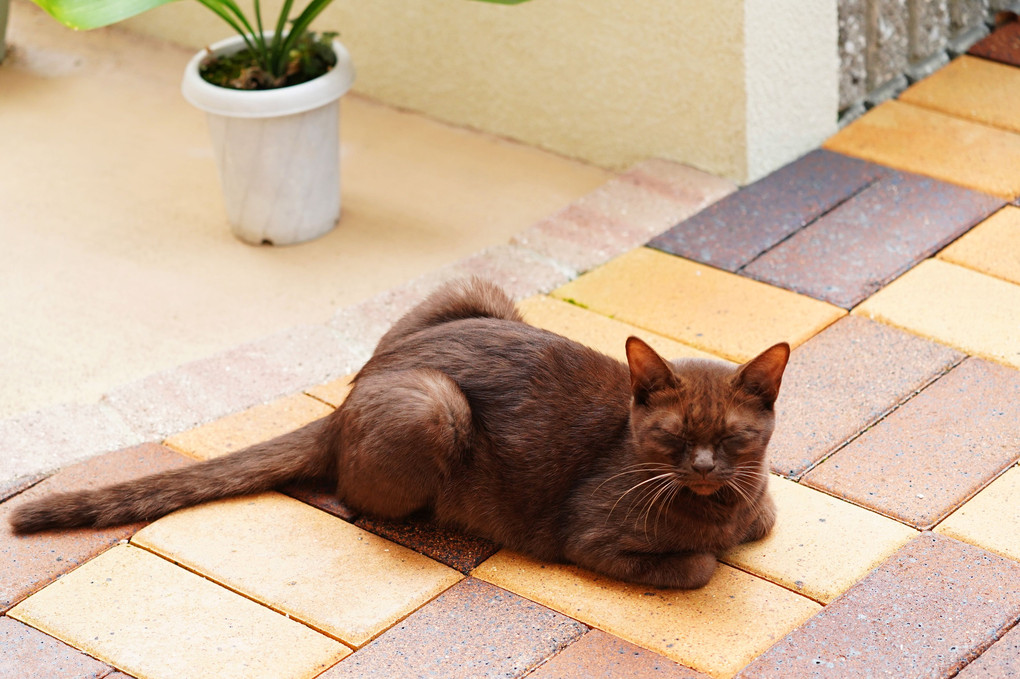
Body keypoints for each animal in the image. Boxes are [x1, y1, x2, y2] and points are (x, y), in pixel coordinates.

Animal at [9, 279, 787, 587]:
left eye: (733, 438)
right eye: (673, 438)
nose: (706, 467)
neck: (719, 506)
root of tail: (356, 390)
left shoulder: (756, 499)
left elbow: (766, 515)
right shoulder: (592, 538)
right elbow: (700, 563)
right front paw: (710, 549)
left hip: (476, 293)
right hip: (433, 408)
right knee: (351, 493)